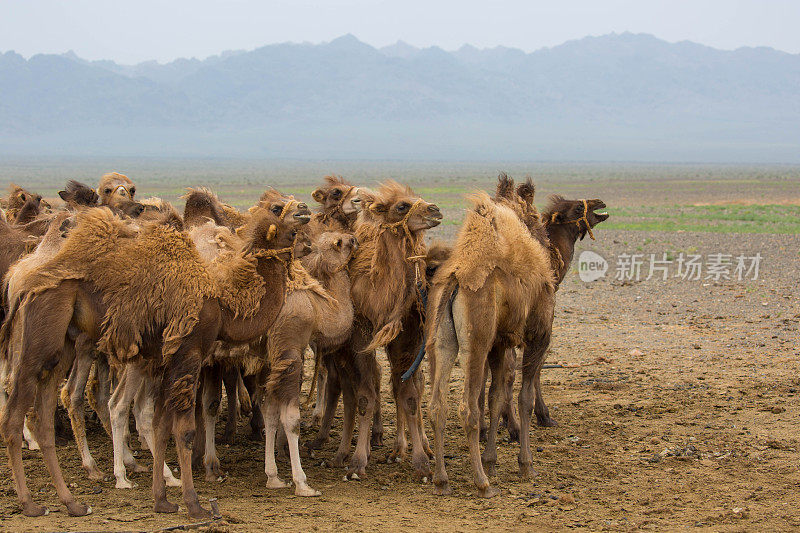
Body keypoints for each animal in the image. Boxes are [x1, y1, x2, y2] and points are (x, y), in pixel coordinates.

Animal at [424, 177, 556, 496]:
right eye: (536, 216)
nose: (545, 239)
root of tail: (455, 281)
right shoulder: (538, 336)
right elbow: (524, 398)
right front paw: (526, 466)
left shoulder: (499, 342)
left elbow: (497, 397)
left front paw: (493, 461)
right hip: (476, 342)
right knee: (467, 408)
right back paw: (482, 483)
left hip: (441, 341)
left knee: (437, 406)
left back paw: (442, 480)